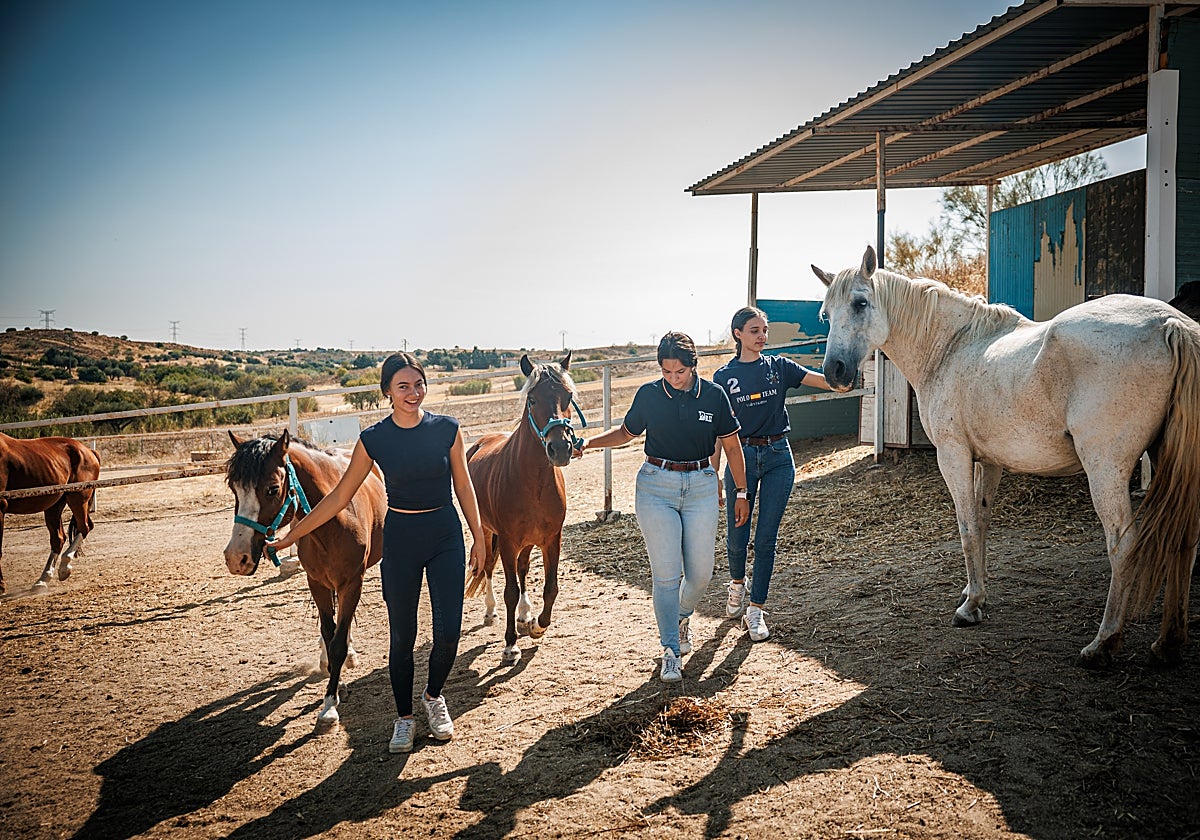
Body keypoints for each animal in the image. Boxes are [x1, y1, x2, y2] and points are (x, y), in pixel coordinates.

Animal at [0, 432, 100, 595]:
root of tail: (88, 451)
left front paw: (1, 586)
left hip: (77, 498)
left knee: (84, 527)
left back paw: (64, 568)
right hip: (54, 505)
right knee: (58, 538)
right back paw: (42, 580)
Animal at [224, 430, 386, 724]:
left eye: (272, 489)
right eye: (234, 488)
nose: (236, 558)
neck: (332, 520)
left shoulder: (351, 583)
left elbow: (338, 642)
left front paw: (329, 704)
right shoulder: (317, 584)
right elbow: (329, 633)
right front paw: (336, 685)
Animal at [465, 352, 580, 665]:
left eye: (568, 395)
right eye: (532, 399)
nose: (560, 448)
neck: (534, 482)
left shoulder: (552, 539)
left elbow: (550, 587)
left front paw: (538, 625)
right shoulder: (507, 541)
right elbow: (510, 591)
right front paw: (510, 645)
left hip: (527, 542)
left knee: (523, 568)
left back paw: (525, 614)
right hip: (486, 532)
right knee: (488, 568)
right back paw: (490, 611)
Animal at [813, 246, 1200, 668]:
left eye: (860, 303)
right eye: (826, 314)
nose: (834, 371)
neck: (950, 349)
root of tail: (1170, 324)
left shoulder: (953, 455)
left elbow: (967, 528)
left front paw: (969, 609)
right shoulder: (989, 462)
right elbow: (982, 525)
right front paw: (975, 595)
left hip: (1106, 470)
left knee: (1123, 546)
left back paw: (1103, 643)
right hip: (1168, 460)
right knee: (1184, 540)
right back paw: (1169, 642)